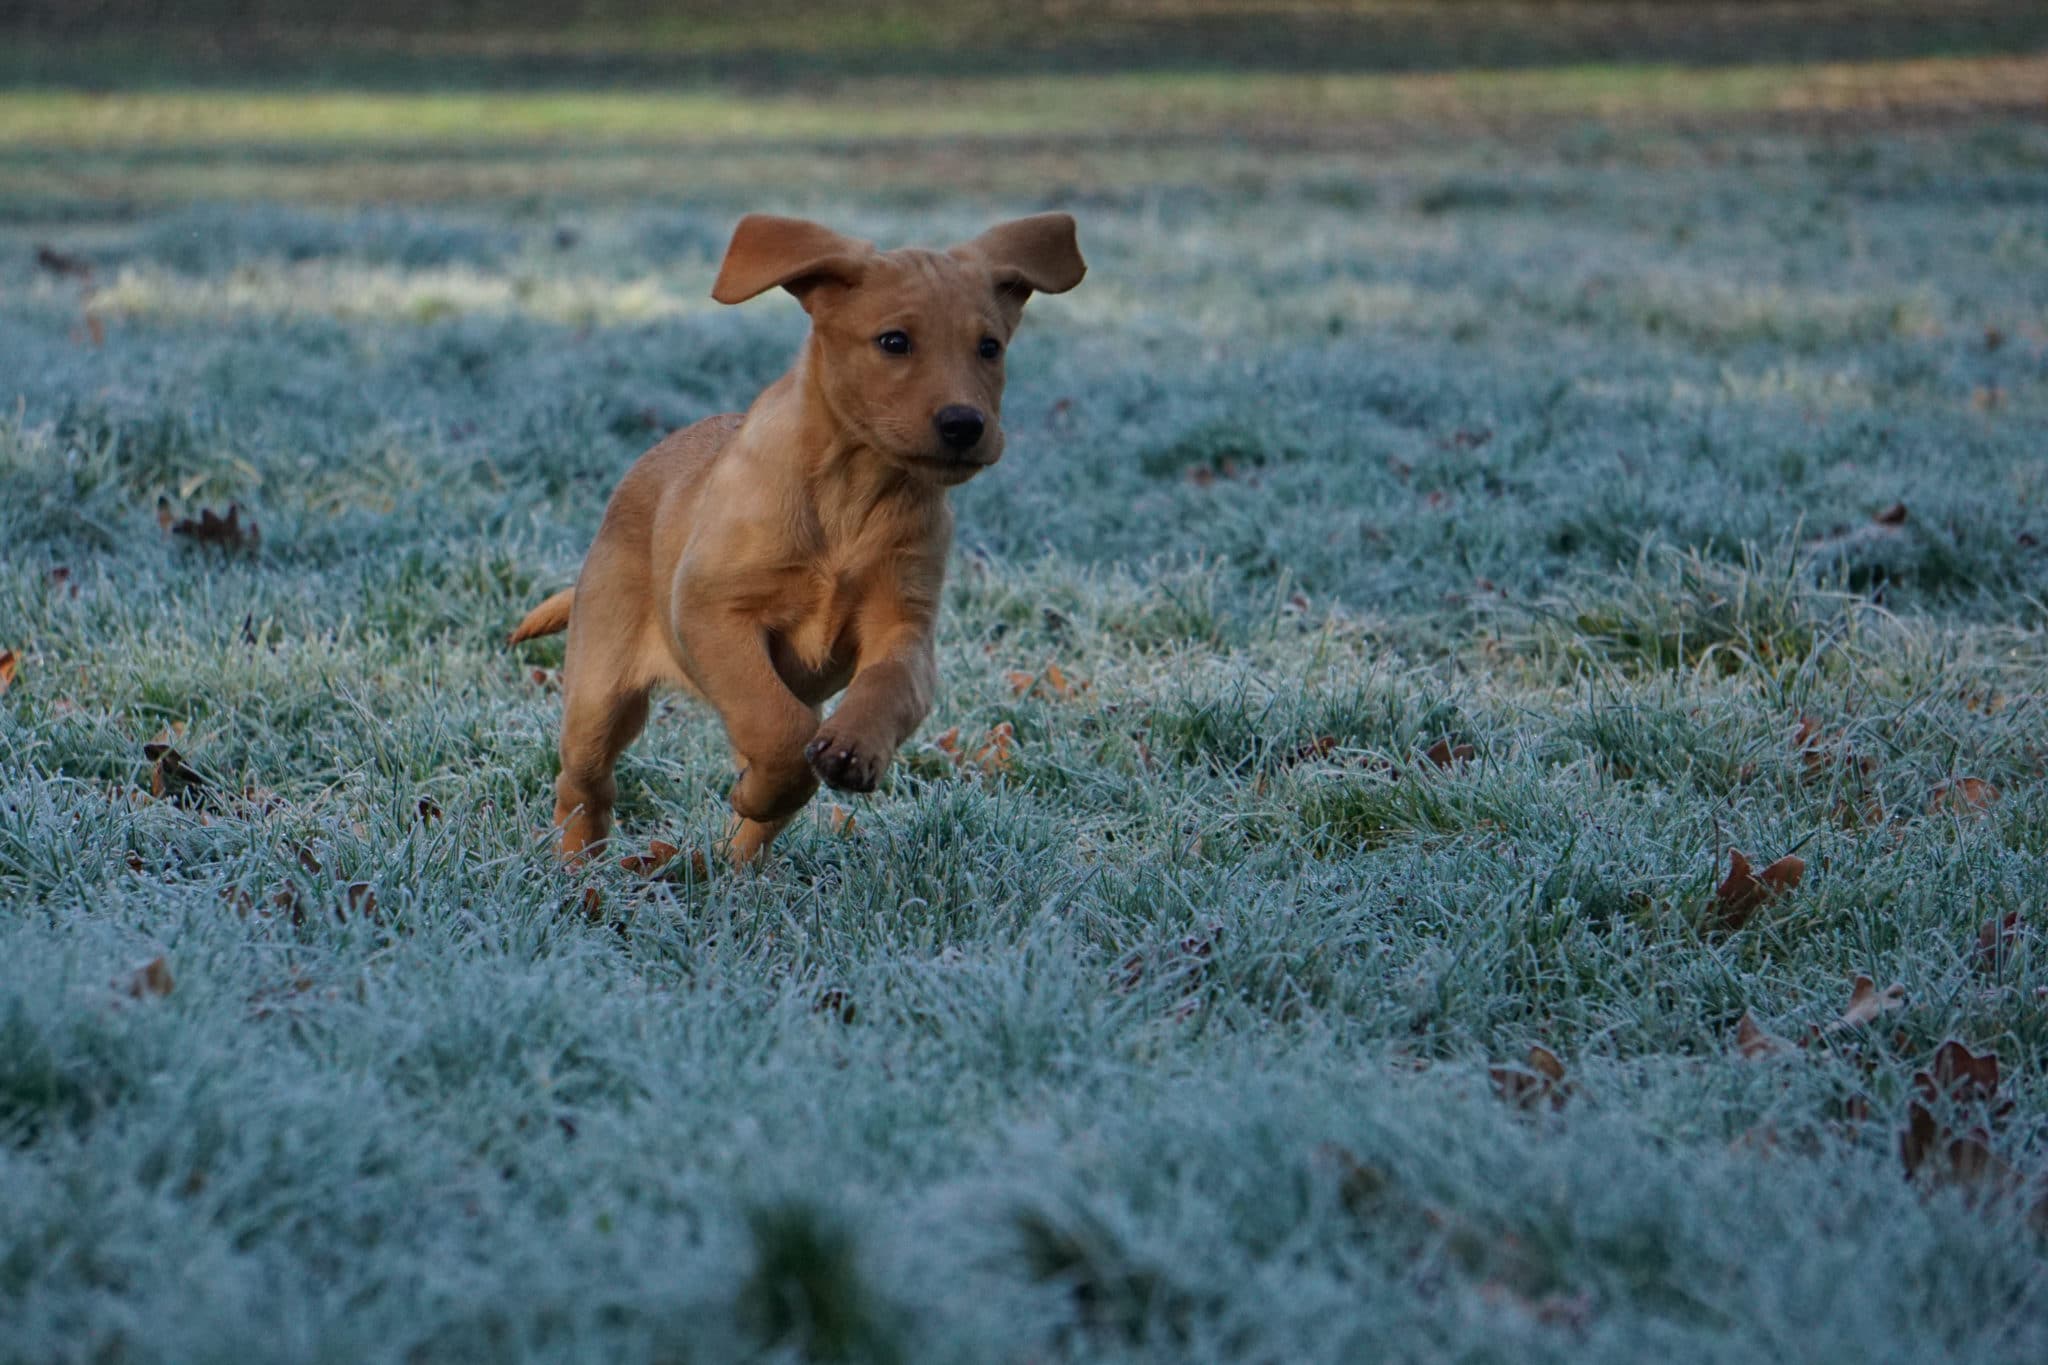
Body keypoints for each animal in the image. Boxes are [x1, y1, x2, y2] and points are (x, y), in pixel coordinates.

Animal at [509, 218, 1081, 871]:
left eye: (990, 347)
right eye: (893, 342)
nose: (965, 424)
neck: (853, 493)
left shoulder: (905, 628)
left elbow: (885, 688)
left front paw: (852, 748)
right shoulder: (713, 611)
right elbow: (778, 728)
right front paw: (771, 780)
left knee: (757, 810)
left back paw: (731, 862)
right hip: (598, 695)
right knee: (586, 783)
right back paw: (578, 863)